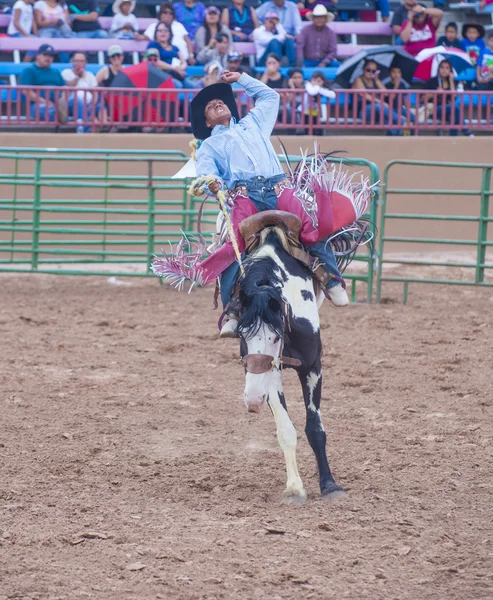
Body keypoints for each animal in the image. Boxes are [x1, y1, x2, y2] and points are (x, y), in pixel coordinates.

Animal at [236, 227, 344, 504]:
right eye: (241, 334)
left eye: (275, 336)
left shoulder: (313, 367)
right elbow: (286, 430)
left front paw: (330, 485)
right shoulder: (269, 372)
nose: (252, 401)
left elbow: (315, 429)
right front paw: (294, 487)